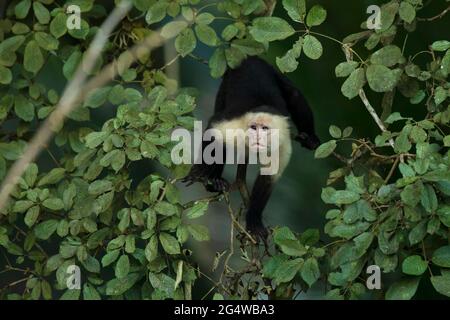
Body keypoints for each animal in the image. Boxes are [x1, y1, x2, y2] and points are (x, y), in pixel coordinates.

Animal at [184, 55, 320, 240]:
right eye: (254, 128)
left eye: (265, 129)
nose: (257, 136)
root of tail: (250, 58)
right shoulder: (236, 124)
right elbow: (214, 129)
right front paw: (200, 172)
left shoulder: (282, 143)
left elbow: (269, 176)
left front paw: (254, 220)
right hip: (227, 82)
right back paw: (215, 182)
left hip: (271, 69)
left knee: (294, 95)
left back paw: (310, 137)